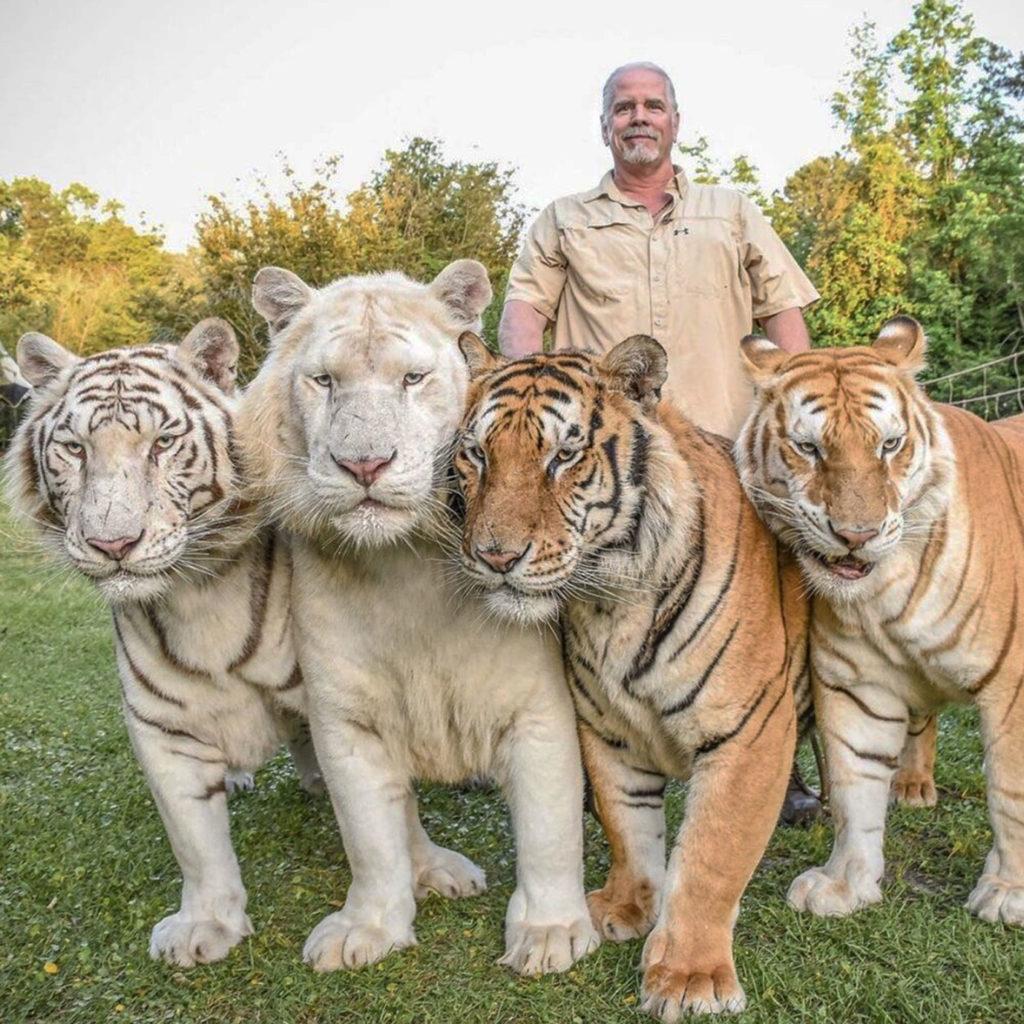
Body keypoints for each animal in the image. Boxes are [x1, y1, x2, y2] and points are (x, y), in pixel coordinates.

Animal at [454, 333, 806, 1015]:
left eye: (564, 455)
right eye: (477, 453)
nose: (496, 557)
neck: (611, 599)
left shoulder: (747, 733)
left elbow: (712, 855)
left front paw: (690, 977)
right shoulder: (607, 731)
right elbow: (629, 830)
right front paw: (625, 908)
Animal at [741, 319, 1024, 929]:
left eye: (889, 445)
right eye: (809, 448)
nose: (857, 535)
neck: (884, 594)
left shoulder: (1015, 686)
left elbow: (1010, 791)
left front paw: (1009, 893)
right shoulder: (857, 683)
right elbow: (855, 786)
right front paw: (845, 884)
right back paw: (913, 786)